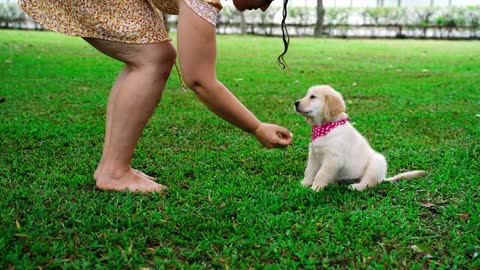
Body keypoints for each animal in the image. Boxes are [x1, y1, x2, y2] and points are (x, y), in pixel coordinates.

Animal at [294, 85, 426, 191]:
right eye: (307, 95)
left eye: (313, 97)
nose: (295, 103)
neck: (326, 127)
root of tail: (383, 178)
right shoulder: (314, 155)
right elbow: (309, 171)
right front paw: (303, 185)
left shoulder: (333, 158)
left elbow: (320, 174)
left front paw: (315, 189)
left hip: (377, 161)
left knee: (369, 182)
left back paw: (356, 187)